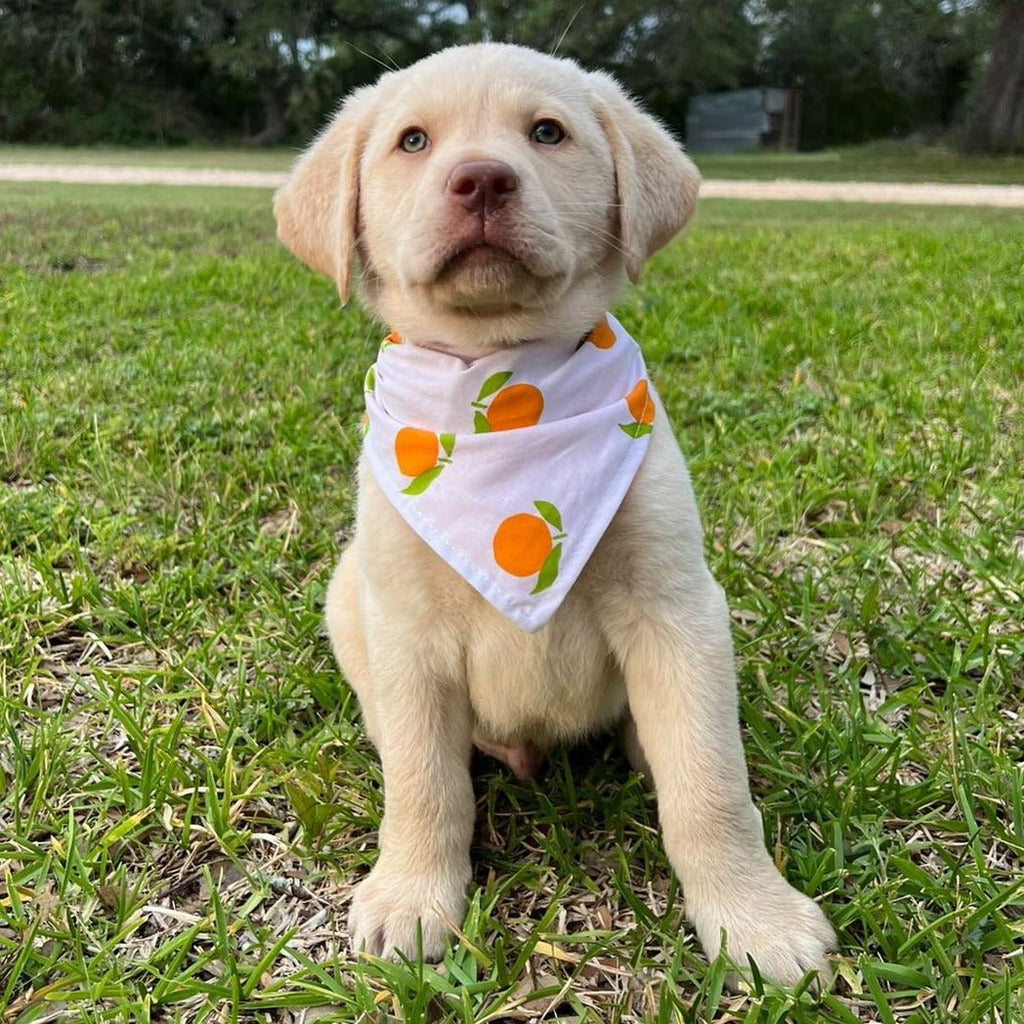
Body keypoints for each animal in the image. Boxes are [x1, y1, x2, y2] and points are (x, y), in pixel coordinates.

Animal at [276, 41, 835, 991]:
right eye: (412, 141)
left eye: (547, 133)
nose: (481, 180)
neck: (504, 389)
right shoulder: (406, 630)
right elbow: (425, 783)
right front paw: (412, 896)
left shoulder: (677, 611)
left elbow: (711, 786)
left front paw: (754, 918)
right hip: (349, 596)